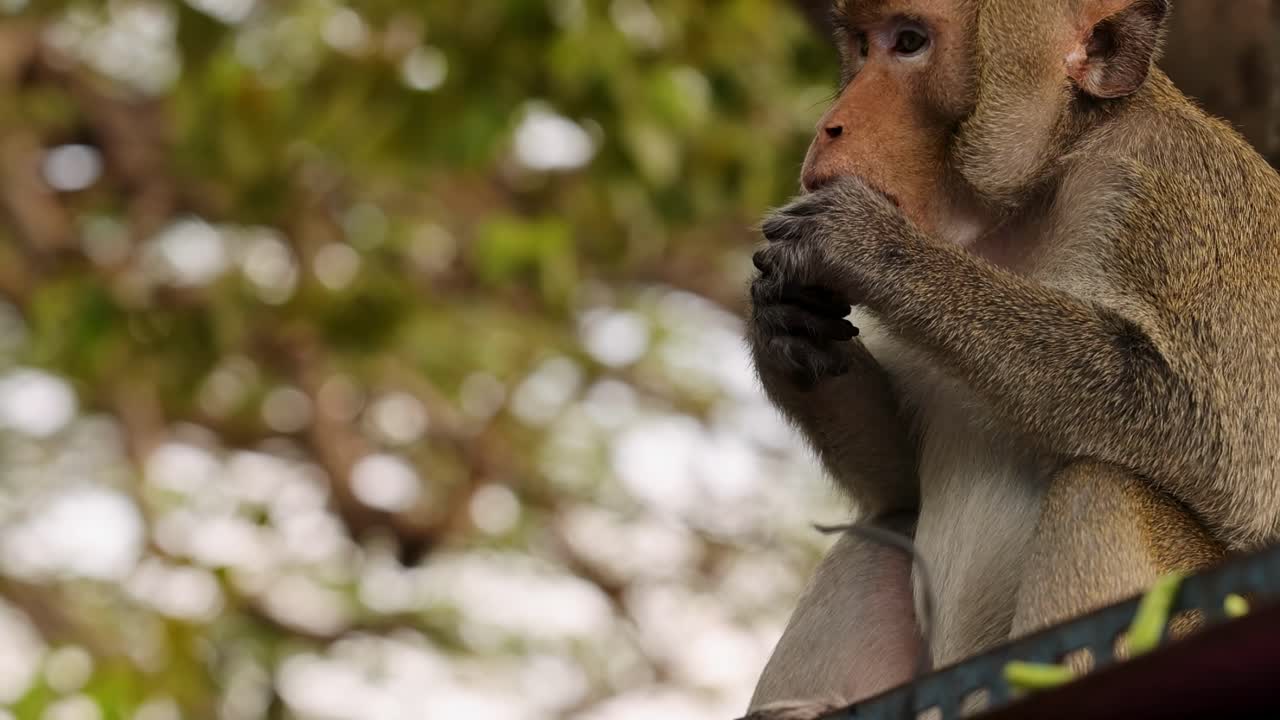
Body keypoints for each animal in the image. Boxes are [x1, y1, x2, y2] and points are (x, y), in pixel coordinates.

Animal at [741, 0, 1280, 717]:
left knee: (1103, 488)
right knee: (889, 528)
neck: (1044, 183)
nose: (830, 126)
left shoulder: (1176, 192)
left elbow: (1228, 452)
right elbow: (899, 484)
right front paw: (782, 324)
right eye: (862, 47)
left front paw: (871, 248)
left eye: (908, 42)